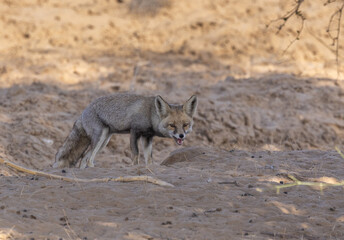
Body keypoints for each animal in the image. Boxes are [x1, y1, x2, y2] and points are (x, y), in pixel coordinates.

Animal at [53, 93, 199, 168]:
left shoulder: (147, 137)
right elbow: (136, 155)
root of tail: (83, 111)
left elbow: (149, 159)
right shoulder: (134, 132)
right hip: (100, 137)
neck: (150, 114)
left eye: (185, 125)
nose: (181, 136)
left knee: (84, 158)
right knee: (88, 158)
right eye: (172, 125)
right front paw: (134, 168)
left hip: (104, 140)